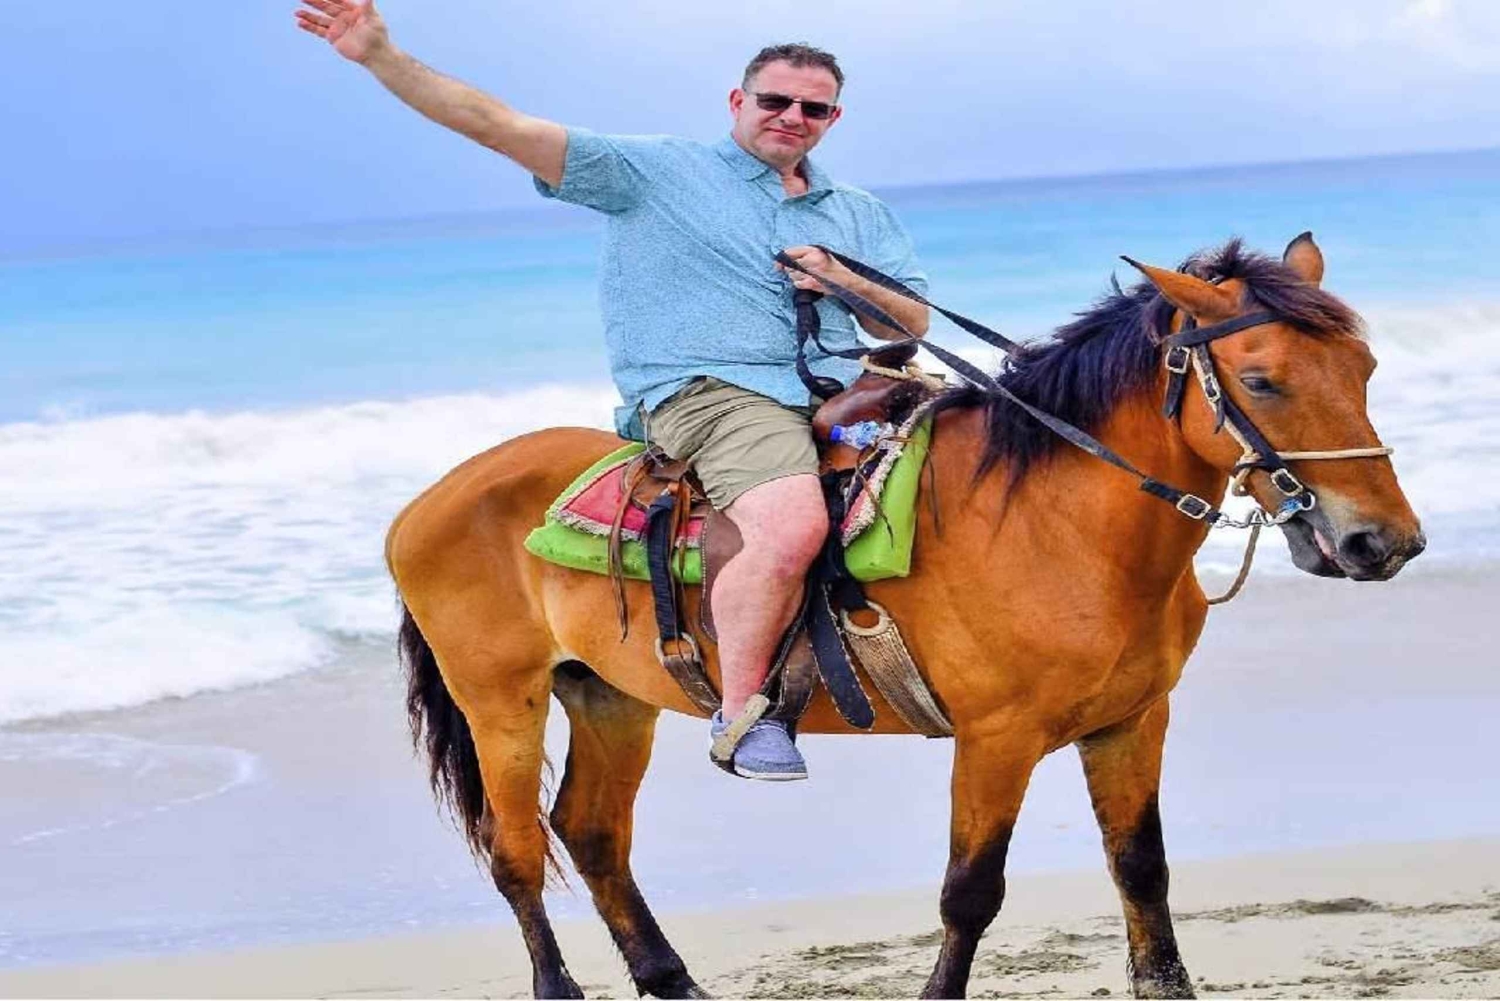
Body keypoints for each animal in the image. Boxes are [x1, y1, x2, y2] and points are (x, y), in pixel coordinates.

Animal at [386, 233, 1424, 999]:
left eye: (1365, 366)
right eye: (1262, 379)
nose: (1382, 541)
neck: (1054, 518)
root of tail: (426, 501)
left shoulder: (1132, 722)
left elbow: (1142, 871)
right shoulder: (998, 738)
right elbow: (971, 892)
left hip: (608, 696)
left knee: (594, 834)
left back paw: (672, 978)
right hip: (502, 703)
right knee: (519, 854)